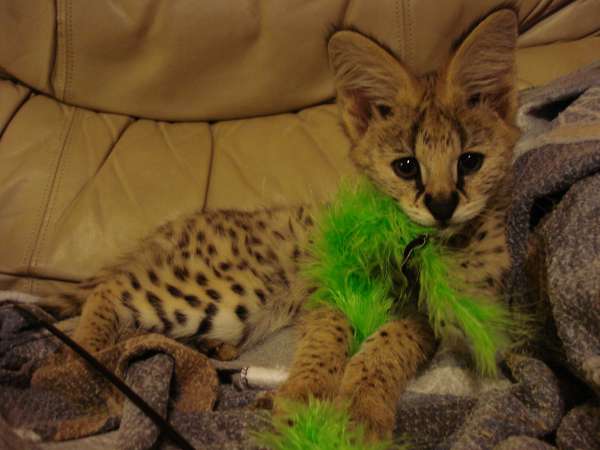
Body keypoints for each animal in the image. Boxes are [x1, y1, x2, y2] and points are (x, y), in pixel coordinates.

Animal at [35, 8, 516, 442]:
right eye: (407, 166)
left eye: (469, 161)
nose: (442, 206)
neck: (424, 241)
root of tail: (182, 222)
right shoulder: (334, 286)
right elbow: (326, 339)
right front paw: (305, 399)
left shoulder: (431, 314)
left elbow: (388, 346)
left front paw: (359, 412)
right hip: (232, 291)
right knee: (109, 290)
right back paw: (79, 361)